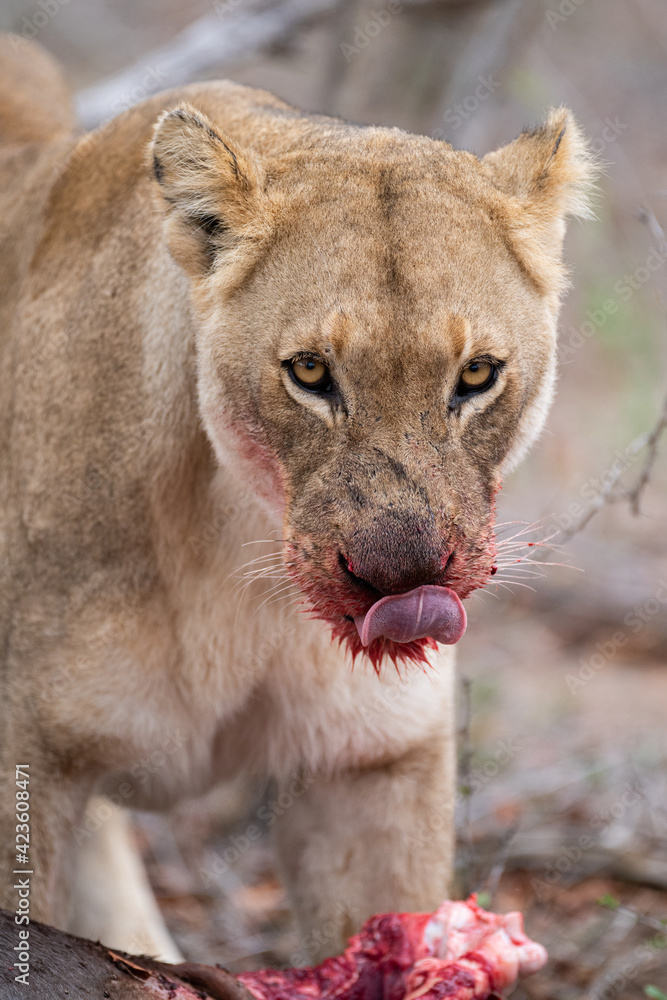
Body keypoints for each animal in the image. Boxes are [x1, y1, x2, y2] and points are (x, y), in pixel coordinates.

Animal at [0, 35, 595, 964]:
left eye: (475, 375)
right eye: (310, 371)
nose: (402, 580)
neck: (236, 544)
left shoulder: (373, 761)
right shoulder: (25, 767)